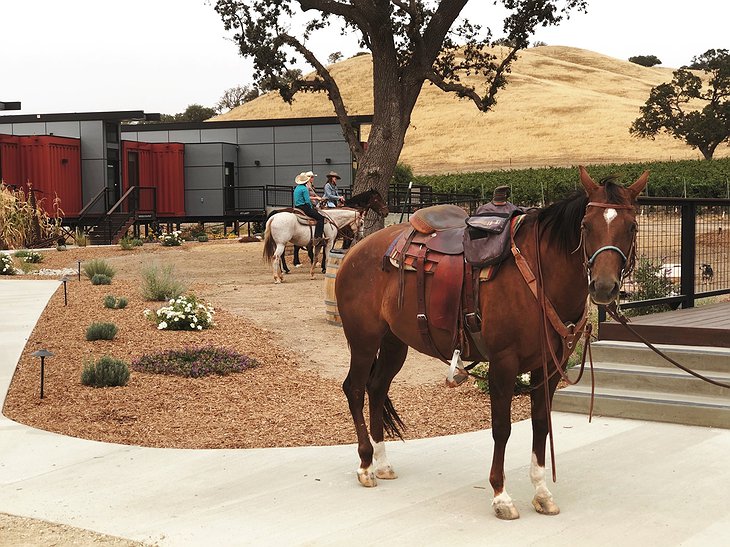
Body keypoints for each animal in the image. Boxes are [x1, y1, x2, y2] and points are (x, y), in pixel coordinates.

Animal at [332, 169, 644, 520]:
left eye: (631, 226)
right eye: (586, 225)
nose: (604, 287)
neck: (539, 275)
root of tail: (357, 250)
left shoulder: (549, 367)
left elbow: (541, 424)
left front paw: (541, 492)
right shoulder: (504, 363)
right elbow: (502, 428)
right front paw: (501, 496)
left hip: (394, 342)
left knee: (377, 388)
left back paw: (383, 462)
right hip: (363, 340)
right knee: (355, 388)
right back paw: (365, 464)